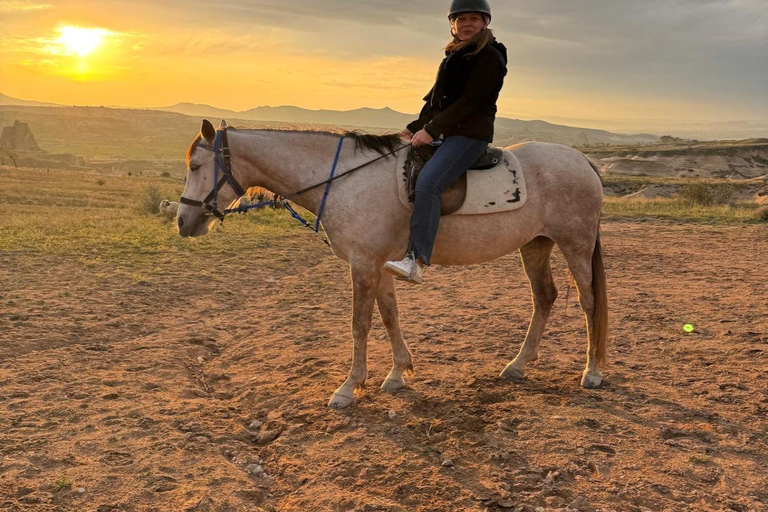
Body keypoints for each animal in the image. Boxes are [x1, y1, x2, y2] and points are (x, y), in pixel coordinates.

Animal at [177, 119, 608, 408]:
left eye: (196, 167)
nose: (183, 221)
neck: (344, 180)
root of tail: (583, 161)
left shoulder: (363, 265)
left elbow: (360, 325)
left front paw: (349, 387)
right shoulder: (380, 265)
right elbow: (389, 317)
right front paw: (399, 373)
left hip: (575, 244)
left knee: (588, 302)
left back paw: (592, 371)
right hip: (535, 245)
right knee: (545, 297)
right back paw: (518, 365)